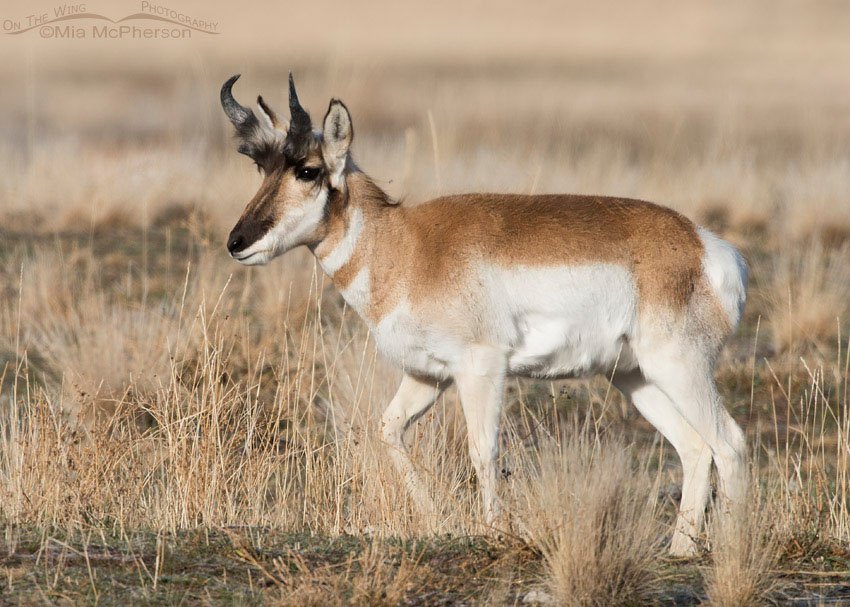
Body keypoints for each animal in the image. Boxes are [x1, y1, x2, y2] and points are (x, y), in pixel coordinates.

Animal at [220, 74, 748, 556]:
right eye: (263, 168)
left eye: (308, 170)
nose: (237, 242)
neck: (409, 247)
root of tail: (706, 245)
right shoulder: (428, 376)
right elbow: (389, 431)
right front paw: (437, 521)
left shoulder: (481, 369)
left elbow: (483, 449)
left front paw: (495, 533)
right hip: (635, 377)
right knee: (695, 448)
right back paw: (680, 552)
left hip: (678, 368)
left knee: (730, 442)